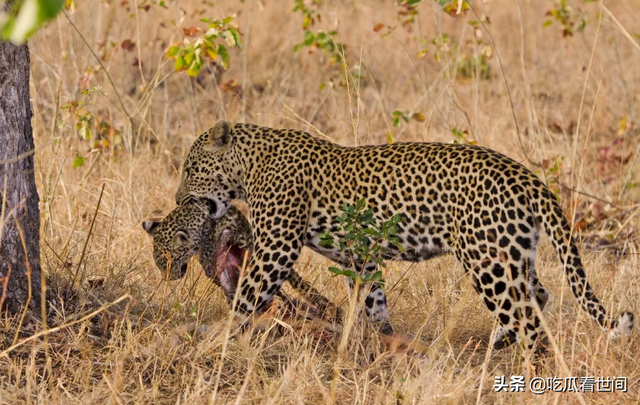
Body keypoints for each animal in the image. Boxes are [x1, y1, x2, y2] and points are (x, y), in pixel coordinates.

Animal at [172, 120, 632, 354]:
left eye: (190, 168)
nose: (177, 198)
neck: (250, 163)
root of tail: (527, 176)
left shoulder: (276, 247)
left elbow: (247, 295)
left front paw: (218, 335)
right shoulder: (361, 257)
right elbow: (373, 300)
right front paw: (384, 339)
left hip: (487, 259)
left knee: (527, 318)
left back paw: (526, 365)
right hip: (511, 251)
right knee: (537, 295)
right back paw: (499, 343)